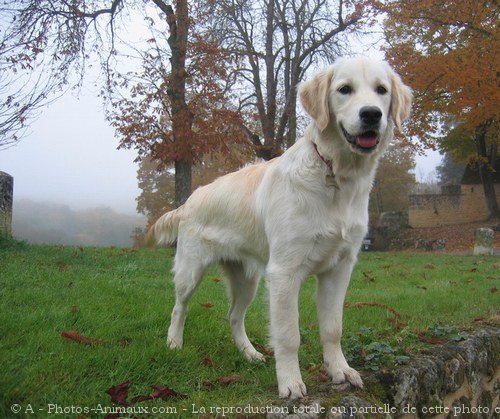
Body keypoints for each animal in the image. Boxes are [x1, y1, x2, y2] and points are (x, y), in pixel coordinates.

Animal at [150, 56, 412, 400]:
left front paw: (340, 370)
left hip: (247, 278)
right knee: (179, 307)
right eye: (345, 89)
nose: (371, 114)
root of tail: (190, 198)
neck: (336, 176)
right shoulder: (284, 272)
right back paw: (174, 343)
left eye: (381, 90)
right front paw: (289, 382)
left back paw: (250, 353)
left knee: (234, 316)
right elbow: (289, 336)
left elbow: (333, 328)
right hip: (191, 271)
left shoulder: (339, 268)